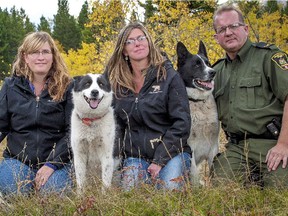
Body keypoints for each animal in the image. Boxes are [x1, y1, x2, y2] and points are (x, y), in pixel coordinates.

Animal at [176, 41, 220, 184]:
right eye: (196, 65)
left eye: (208, 63)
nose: (213, 72)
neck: (198, 102)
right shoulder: (190, 148)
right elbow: (194, 173)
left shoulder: (213, 147)